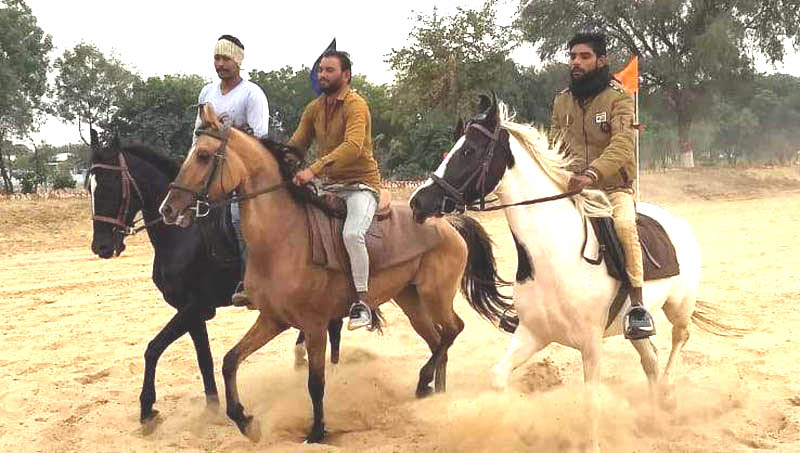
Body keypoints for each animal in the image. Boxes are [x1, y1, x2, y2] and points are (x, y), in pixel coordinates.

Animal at [159, 104, 510, 444]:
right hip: (410, 300)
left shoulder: (314, 325)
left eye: (203, 156)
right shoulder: (273, 319)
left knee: (452, 331)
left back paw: (425, 383)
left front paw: (317, 432)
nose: (168, 208)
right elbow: (230, 360)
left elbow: (315, 382)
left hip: (435, 296)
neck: (283, 238)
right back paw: (435, 394)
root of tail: (448, 222)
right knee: (438, 341)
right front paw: (246, 421)